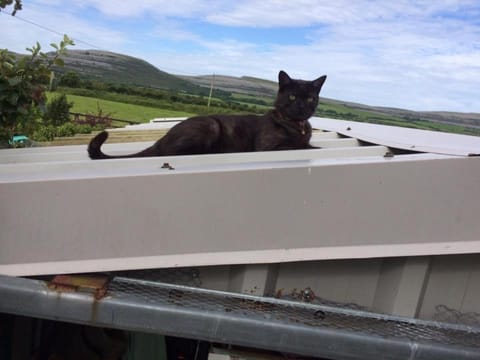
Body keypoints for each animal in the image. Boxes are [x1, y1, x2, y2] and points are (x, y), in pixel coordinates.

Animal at [87, 70, 326, 159]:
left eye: (310, 98)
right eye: (293, 97)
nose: (302, 107)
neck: (297, 125)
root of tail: (160, 139)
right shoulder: (267, 146)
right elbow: (297, 146)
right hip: (210, 125)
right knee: (170, 153)